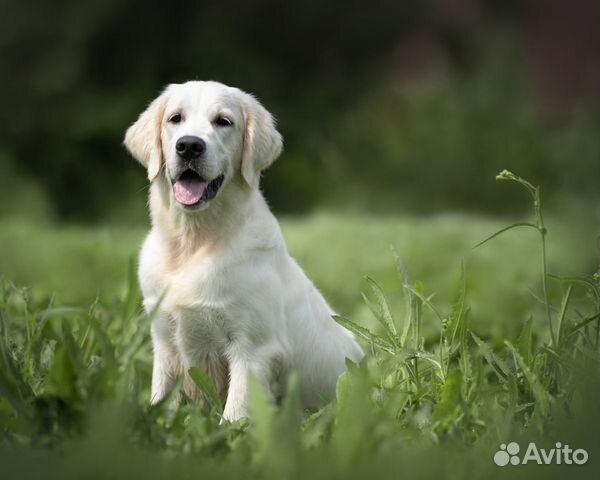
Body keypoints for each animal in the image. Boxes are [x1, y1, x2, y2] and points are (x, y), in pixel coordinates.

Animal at [124, 79, 364, 420]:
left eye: (223, 121)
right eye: (175, 119)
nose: (189, 146)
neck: (193, 244)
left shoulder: (252, 347)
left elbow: (235, 412)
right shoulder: (164, 340)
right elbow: (161, 398)